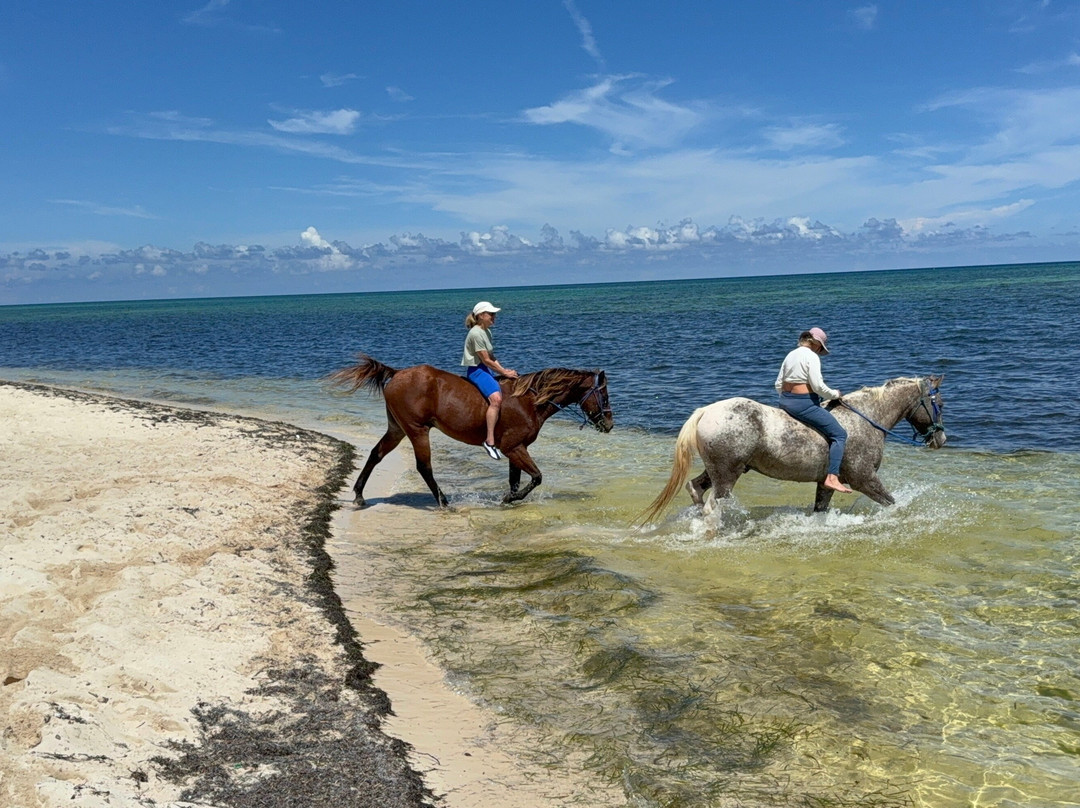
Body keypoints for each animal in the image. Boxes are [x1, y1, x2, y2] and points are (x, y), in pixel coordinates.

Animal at [329, 355, 613, 507]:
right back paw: (443, 501)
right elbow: (536, 477)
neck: (529, 401)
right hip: (417, 430)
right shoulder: (514, 447)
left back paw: (359, 495)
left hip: (397, 429)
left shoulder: (516, 450)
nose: (609, 424)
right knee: (424, 467)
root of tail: (397, 374)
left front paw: (510, 498)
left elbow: (516, 479)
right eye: (605, 395)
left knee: (376, 454)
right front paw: (509, 499)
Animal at [641, 375, 946, 522]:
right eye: (939, 403)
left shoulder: (826, 482)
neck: (865, 418)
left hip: (719, 470)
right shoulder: (864, 479)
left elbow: (820, 509)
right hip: (727, 475)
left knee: (695, 489)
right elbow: (892, 504)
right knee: (712, 506)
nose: (941, 440)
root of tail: (706, 411)